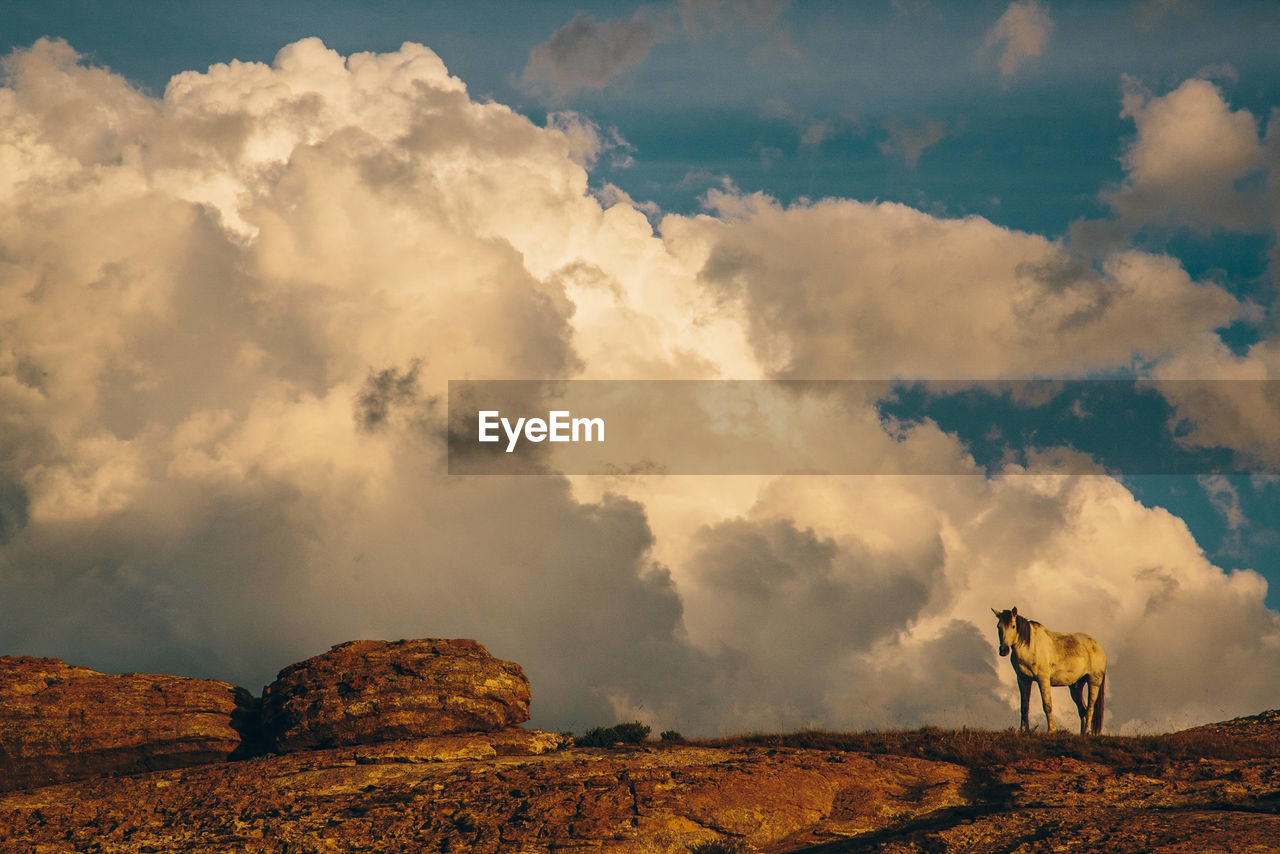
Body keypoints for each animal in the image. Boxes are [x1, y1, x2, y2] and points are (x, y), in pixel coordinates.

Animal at [993, 606, 1105, 737]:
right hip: (1076, 686)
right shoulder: (1023, 680)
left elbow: (1047, 704)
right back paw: (1082, 733)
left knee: (1090, 708)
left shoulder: (1043, 679)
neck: (1031, 647)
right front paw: (1023, 730)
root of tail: (1098, 647)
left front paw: (1052, 730)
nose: (1003, 650)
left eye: (1013, 626)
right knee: (1082, 709)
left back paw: (1087, 732)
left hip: (1094, 682)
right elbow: (1024, 706)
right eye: (998, 626)